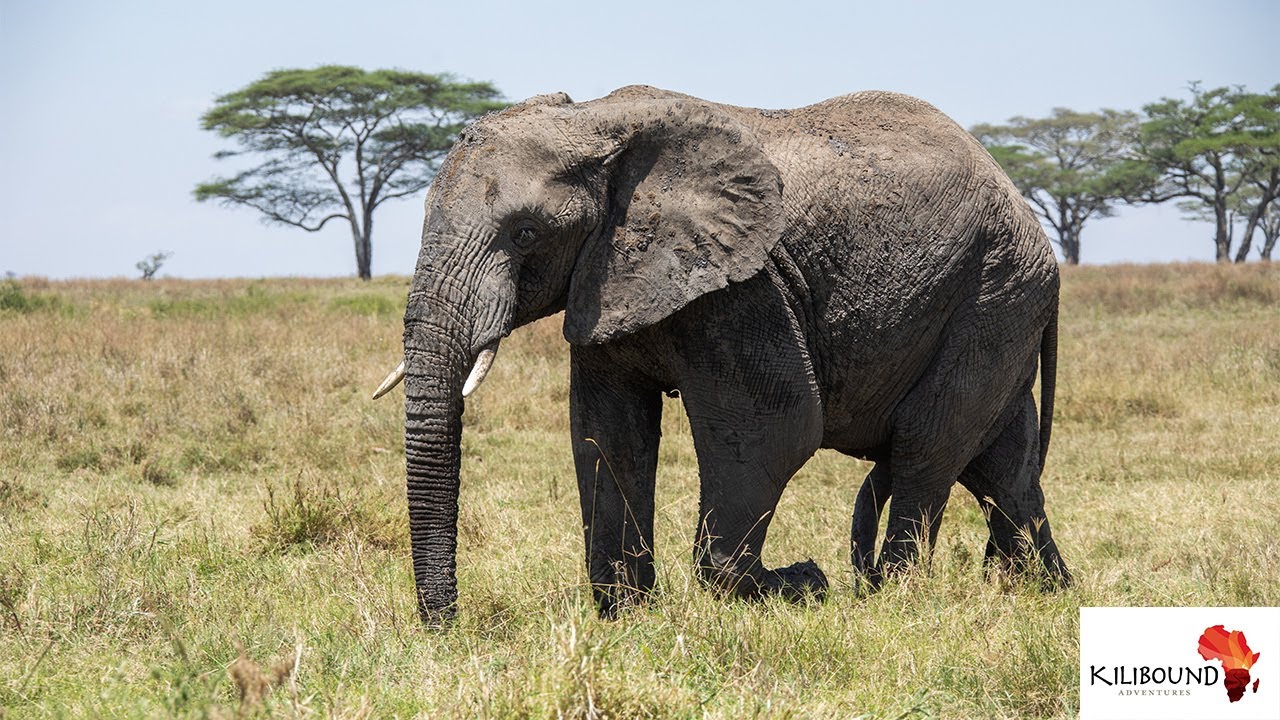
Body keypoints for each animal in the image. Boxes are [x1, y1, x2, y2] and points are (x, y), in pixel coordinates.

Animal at [372, 85, 1070, 623]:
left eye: (525, 233)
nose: (447, 627)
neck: (599, 123)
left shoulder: (748, 288)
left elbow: (772, 428)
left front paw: (802, 583)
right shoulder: (604, 284)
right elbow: (606, 433)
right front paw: (627, 616)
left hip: (994, 295)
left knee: (927, 446)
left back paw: (893, 597)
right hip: (1001, 305)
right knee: (1000, 465)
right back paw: (1042, 591)